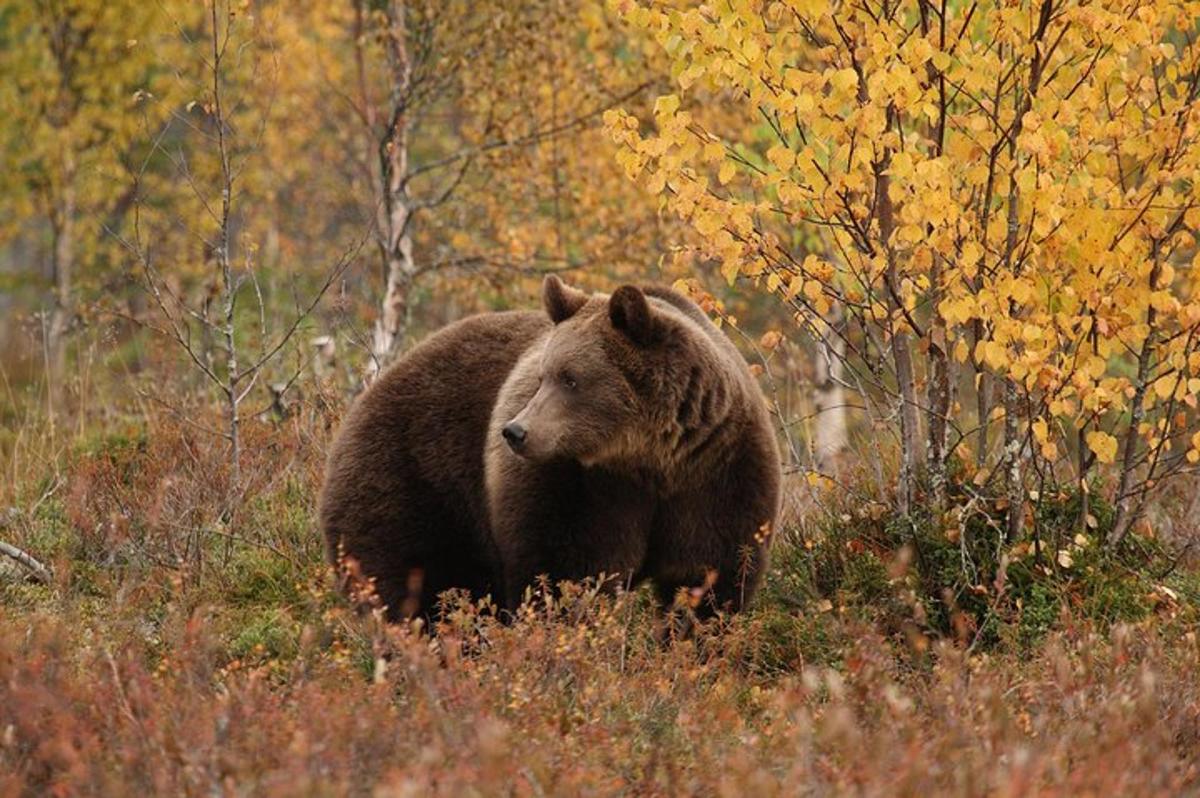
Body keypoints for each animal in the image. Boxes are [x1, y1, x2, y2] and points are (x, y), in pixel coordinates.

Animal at [319, 276, 782, 624]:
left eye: (571, 378)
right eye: (543, 376)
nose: (514, 431)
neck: (648, 458)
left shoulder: (717, 471)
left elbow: (710, 575)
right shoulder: (576, 486)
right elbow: (564, 573)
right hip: (414, 480)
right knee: (415, 586)